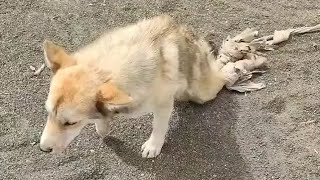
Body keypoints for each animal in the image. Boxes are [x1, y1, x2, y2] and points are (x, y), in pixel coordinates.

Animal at [39, 14, 225, 158]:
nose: (43, 149)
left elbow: (159, 126)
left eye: (71, 123)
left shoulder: (163, 105)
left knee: (219, 74)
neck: (103, 69)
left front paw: (153, 145)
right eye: (48, 112)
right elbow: (101, 118)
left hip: (202, 91)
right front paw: (102, 126)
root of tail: (179, 28)